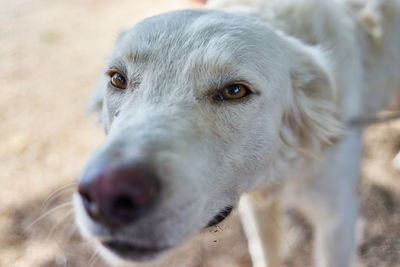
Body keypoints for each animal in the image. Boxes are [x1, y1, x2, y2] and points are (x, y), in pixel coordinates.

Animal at [74, 1, 400, 266]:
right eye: (118, 79)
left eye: (235, 91)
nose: (106, 192)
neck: (279, 171)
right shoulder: (254, 204)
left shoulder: (337, 220)